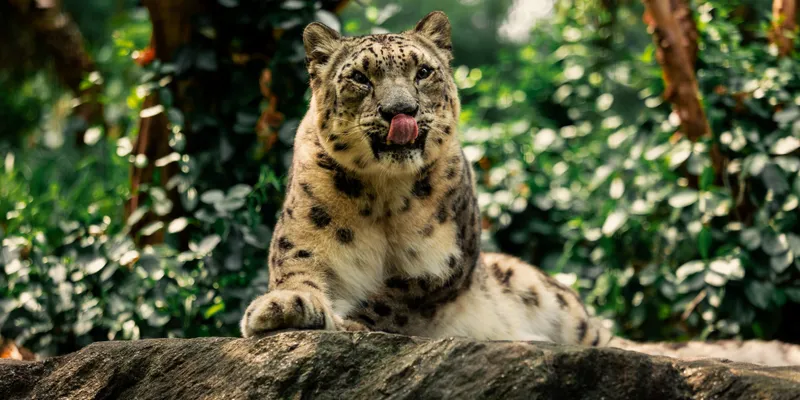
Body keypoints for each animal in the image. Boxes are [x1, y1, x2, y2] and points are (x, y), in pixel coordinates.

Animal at [239, 11, 800, 366]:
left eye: (423, 72)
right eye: (359, 77)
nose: (402, 111)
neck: (382, 194)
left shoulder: (445, 263)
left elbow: (392, 301)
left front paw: (351, 323)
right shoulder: (305, 244)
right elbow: (300, 276)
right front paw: (280, 308)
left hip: (551, 298)